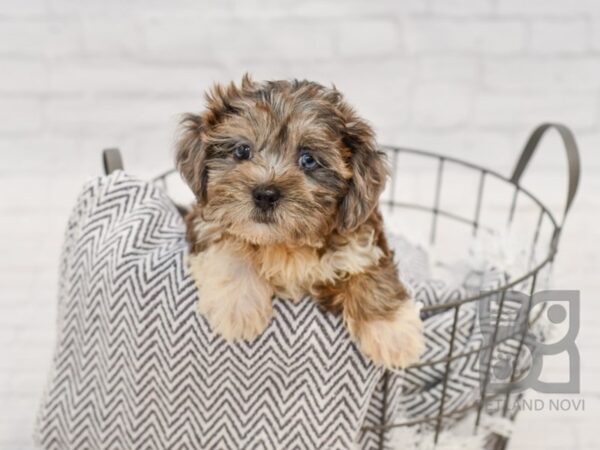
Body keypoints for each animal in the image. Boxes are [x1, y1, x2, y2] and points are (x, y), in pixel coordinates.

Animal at [176, 74, 424, 370]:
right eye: (242, 151)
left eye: (308, 159)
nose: (265, 194)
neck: (286, 244)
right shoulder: (205, 219)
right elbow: (230, 246)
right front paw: (238, 306)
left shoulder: (361, 238)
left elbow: (372, 271)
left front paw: (392, 330)